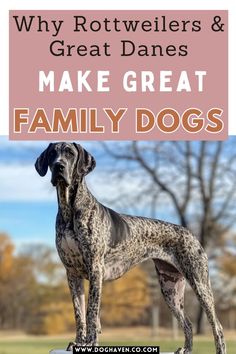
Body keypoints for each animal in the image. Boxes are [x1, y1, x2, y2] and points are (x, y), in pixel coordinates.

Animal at [35, 142, 227, 352]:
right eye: (52, 154)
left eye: (69, 153)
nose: (58, 166)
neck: (69, 209)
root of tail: (190, 233)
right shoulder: (72, 274)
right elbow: (79, 314)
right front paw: (79, 342)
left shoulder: (95, 270)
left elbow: (92, 312)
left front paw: (91, 343)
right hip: (170, 290)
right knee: (188, 323)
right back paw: (186, 349)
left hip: (200, 284)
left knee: (217, 326)